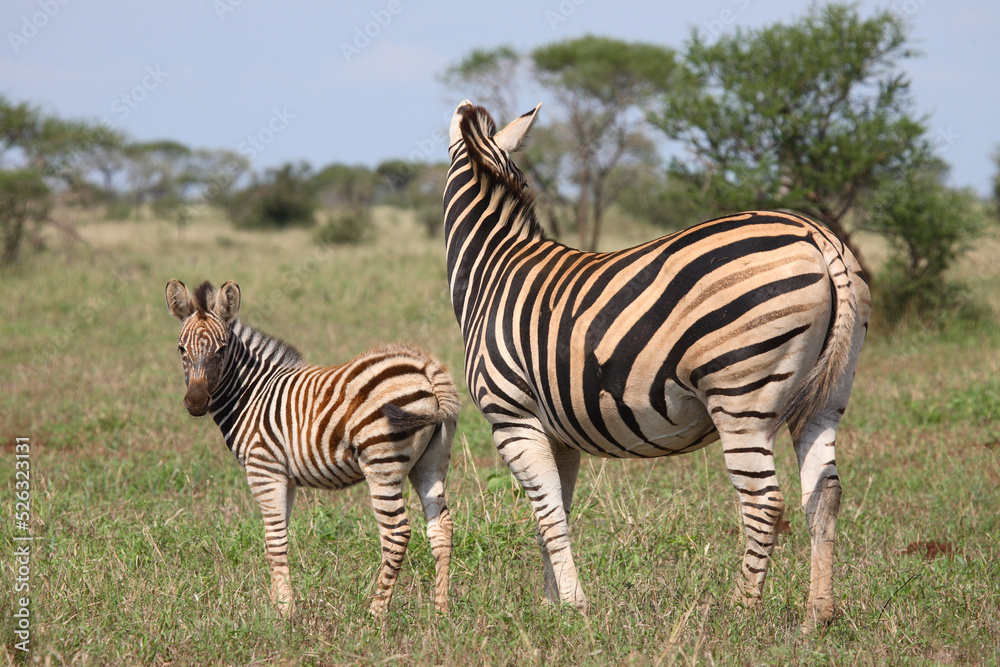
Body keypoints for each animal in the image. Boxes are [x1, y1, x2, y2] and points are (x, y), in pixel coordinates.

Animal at [164, 278, 459, 618]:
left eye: (221, 349)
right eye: (181, 349)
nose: (196, 402)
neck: (252, 393)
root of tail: (427, 367)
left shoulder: (264, 469)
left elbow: (274, 541)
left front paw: (285, 612)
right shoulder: (286, 477)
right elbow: (276, 539)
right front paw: (277, 604)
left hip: (382, 464)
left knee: (397, 533)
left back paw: (375, 614)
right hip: (431, 462)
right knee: (441, 529)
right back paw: (441, 612)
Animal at [444, 101, 871, 630]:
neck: (494, 268)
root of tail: (815, 234)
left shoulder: (512, 418)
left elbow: (547, 513)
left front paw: (574, 605)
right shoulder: (559, 434)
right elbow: (558, 511)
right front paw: (554, 604)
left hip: (741, 396)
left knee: (765, 504)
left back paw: (740, 611)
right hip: (827, 396)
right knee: (824, 496)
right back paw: (818, 615)